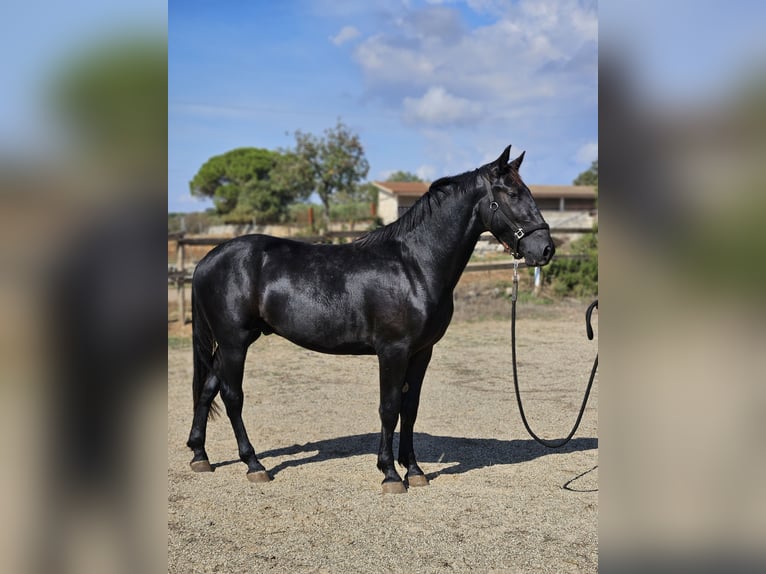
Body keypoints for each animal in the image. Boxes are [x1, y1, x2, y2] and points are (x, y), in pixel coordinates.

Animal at [188, 146, 556, 492]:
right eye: (512, 193)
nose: (546, 249)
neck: (414, 265)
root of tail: (207, 260)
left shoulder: (422, 352)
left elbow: (410, 408)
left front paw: (415, 471)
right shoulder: (393, 351)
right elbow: (389, 407)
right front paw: (390, 474)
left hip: (235, 341)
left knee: (208, 387)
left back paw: (200, 455)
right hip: (235, 342)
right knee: (232, 395)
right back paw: (254, 464)